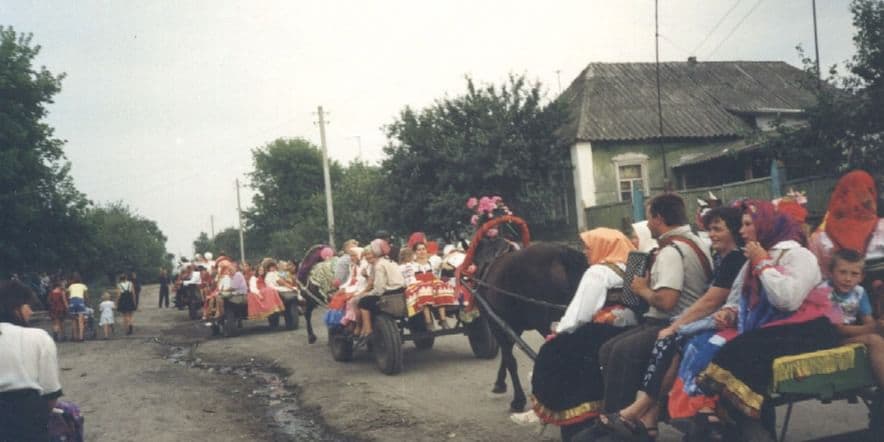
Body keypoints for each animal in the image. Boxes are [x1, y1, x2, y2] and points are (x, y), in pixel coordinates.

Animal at [474, 238, 592, 410]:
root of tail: (562, 254)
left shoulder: (494, 322)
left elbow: (509, 358)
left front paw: (518, 400)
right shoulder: (514, 325)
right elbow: (507, 353)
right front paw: (500, 383)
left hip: (543, 323)